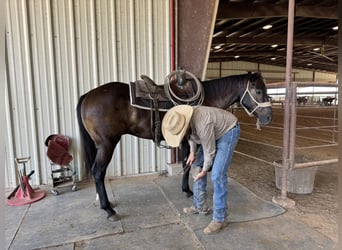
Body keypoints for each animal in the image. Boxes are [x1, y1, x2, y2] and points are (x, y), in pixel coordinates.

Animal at [76, 71, 272, 220]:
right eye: (258, 91)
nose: (269, 117)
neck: (207, 99)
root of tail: (88, 95)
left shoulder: (187, 141)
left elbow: (187, 163)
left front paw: (186, 189)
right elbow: (190, 164)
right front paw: (189, 191)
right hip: (107, 144)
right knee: (98, 172)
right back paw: (108, 209)